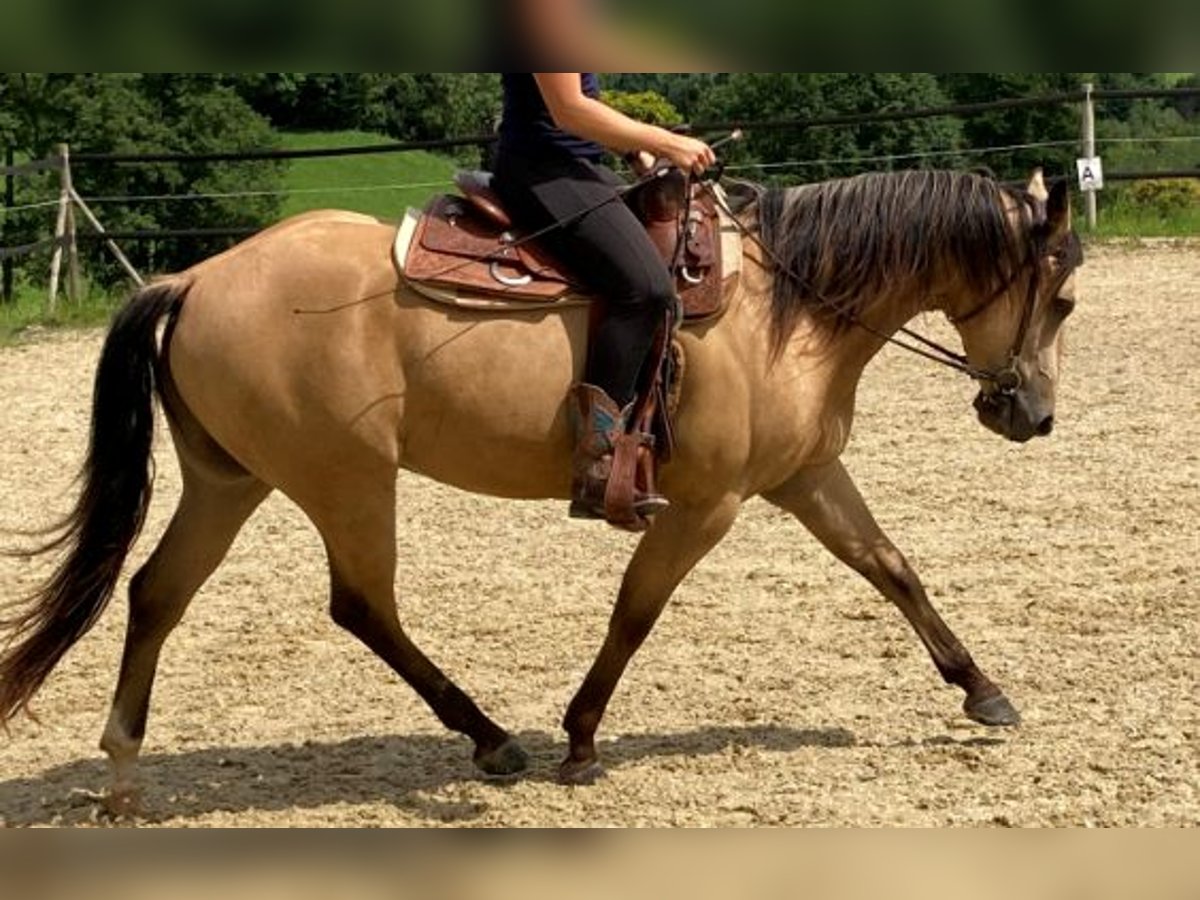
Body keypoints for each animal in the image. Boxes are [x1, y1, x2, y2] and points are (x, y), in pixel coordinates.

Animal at [0, 167, 1080, 811]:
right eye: (1063, 297)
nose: (1030, 414)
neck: (787, 308)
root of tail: (193, 279)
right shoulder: (708, 506)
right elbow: (635, 613)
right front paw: (581, 739)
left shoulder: (806, 477)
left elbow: (891, 569)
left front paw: (983, 691)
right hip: (347, 480)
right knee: (361, 605)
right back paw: (490, 741)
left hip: (232, 482)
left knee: (157, 593)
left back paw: (125, 775)